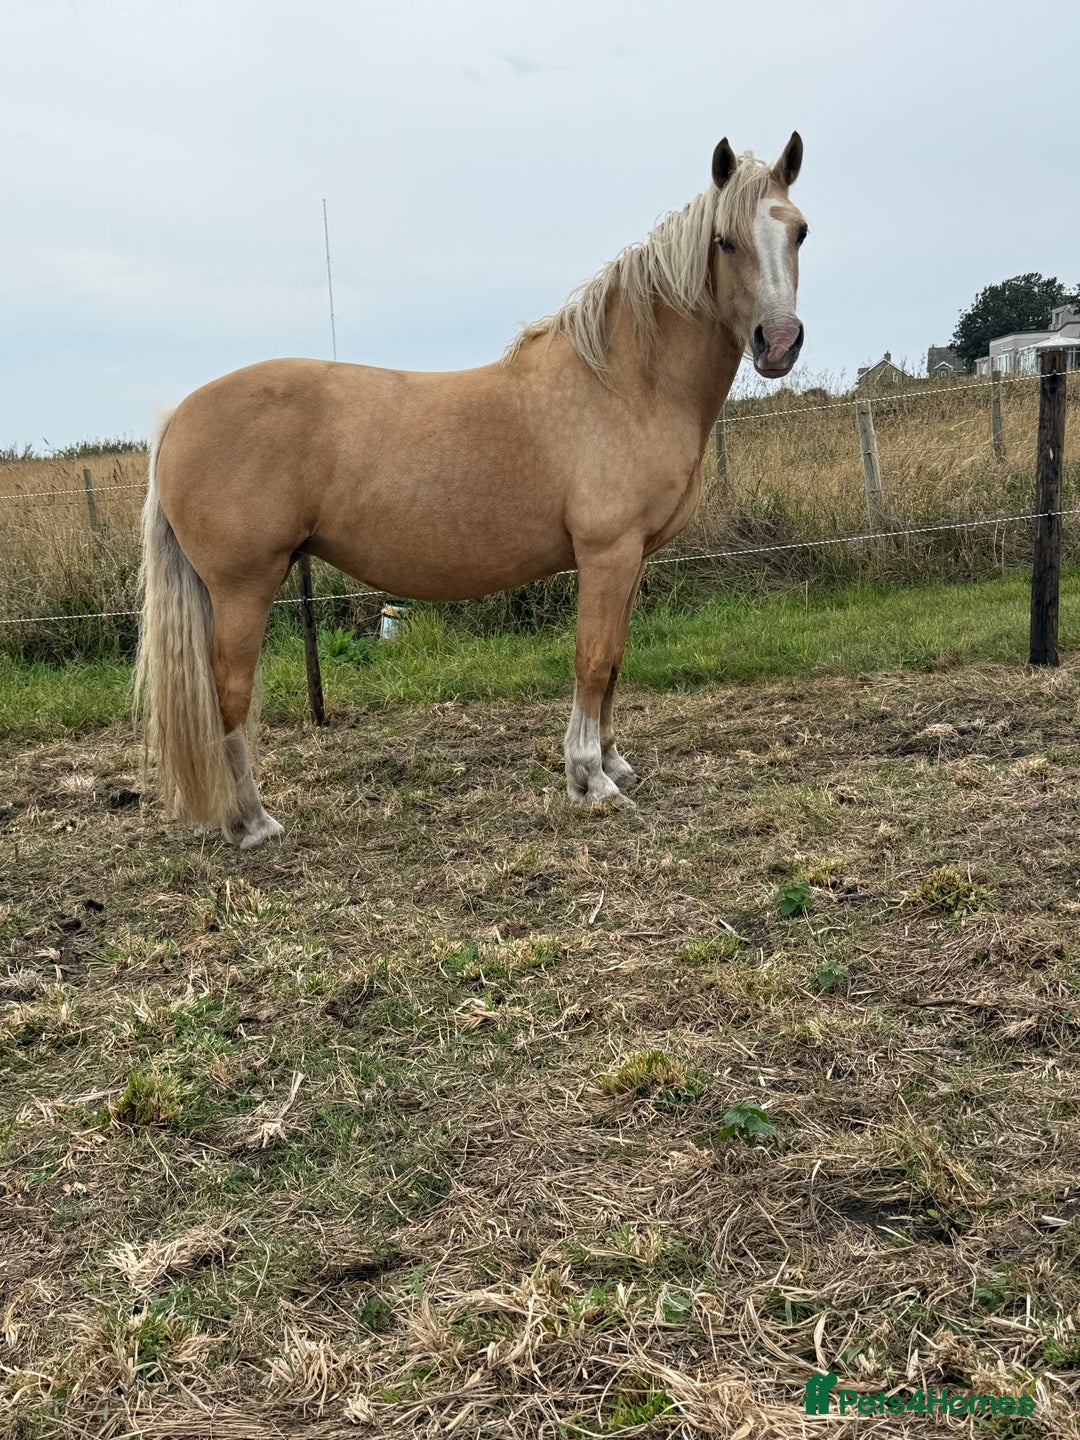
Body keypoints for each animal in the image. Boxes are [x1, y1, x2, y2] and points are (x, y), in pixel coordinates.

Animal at [137, 133, 807, 848]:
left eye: (799, 231)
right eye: (724, 241)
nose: (778, 343)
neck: (626, 384)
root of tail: (178, 417)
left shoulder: (631, 560)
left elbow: (617, 660)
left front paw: (614, 762)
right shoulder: (607, 553)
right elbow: (593, 660)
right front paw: (589, 780)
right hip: (243, 586)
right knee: (229, 694)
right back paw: (253, 822)